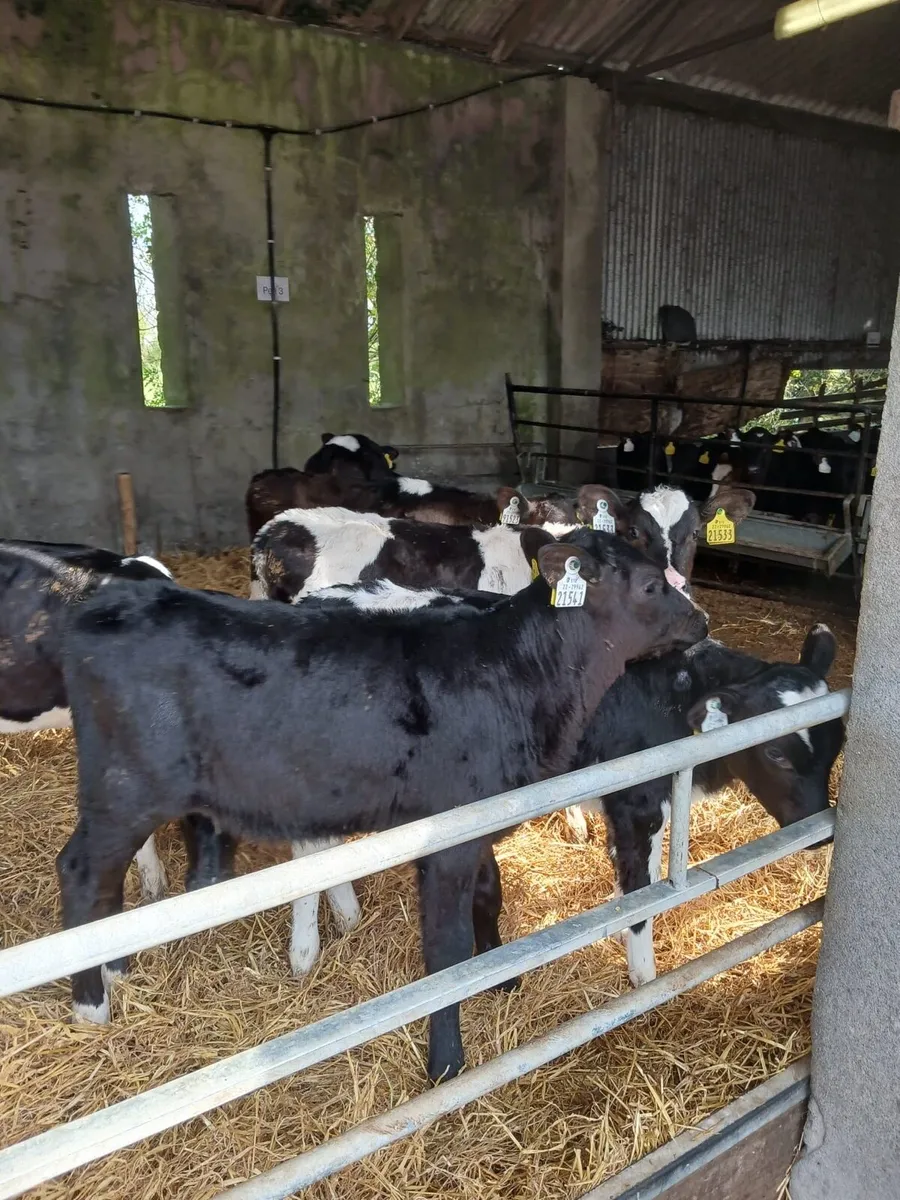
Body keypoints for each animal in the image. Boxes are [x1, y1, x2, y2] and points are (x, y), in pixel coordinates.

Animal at [57, 532, 707, 1082]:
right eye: (652, 585)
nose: (701, 620)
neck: (514, 671)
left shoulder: (477, 817)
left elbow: (489, 893)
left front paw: (501, 978)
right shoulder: (444, 839)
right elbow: (443, 952)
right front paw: (446, 1062)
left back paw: (114, 970)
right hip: (125, 789)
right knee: (81, 870)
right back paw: (91, 1004)